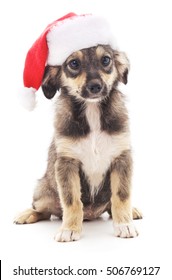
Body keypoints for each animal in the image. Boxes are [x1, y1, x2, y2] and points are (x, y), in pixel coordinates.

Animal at [14, 44, 142, 242]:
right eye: (74, 63)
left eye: (106, 60)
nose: (95, 87)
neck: (92, 110)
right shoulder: (67, 163)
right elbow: (72, 200)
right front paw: (70, 229)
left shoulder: (121, 158)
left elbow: (121, 196)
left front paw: (124, 224)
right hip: (43, 192)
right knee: (44, 210)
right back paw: (27, 214)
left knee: (110, 205)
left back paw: (131, 211)